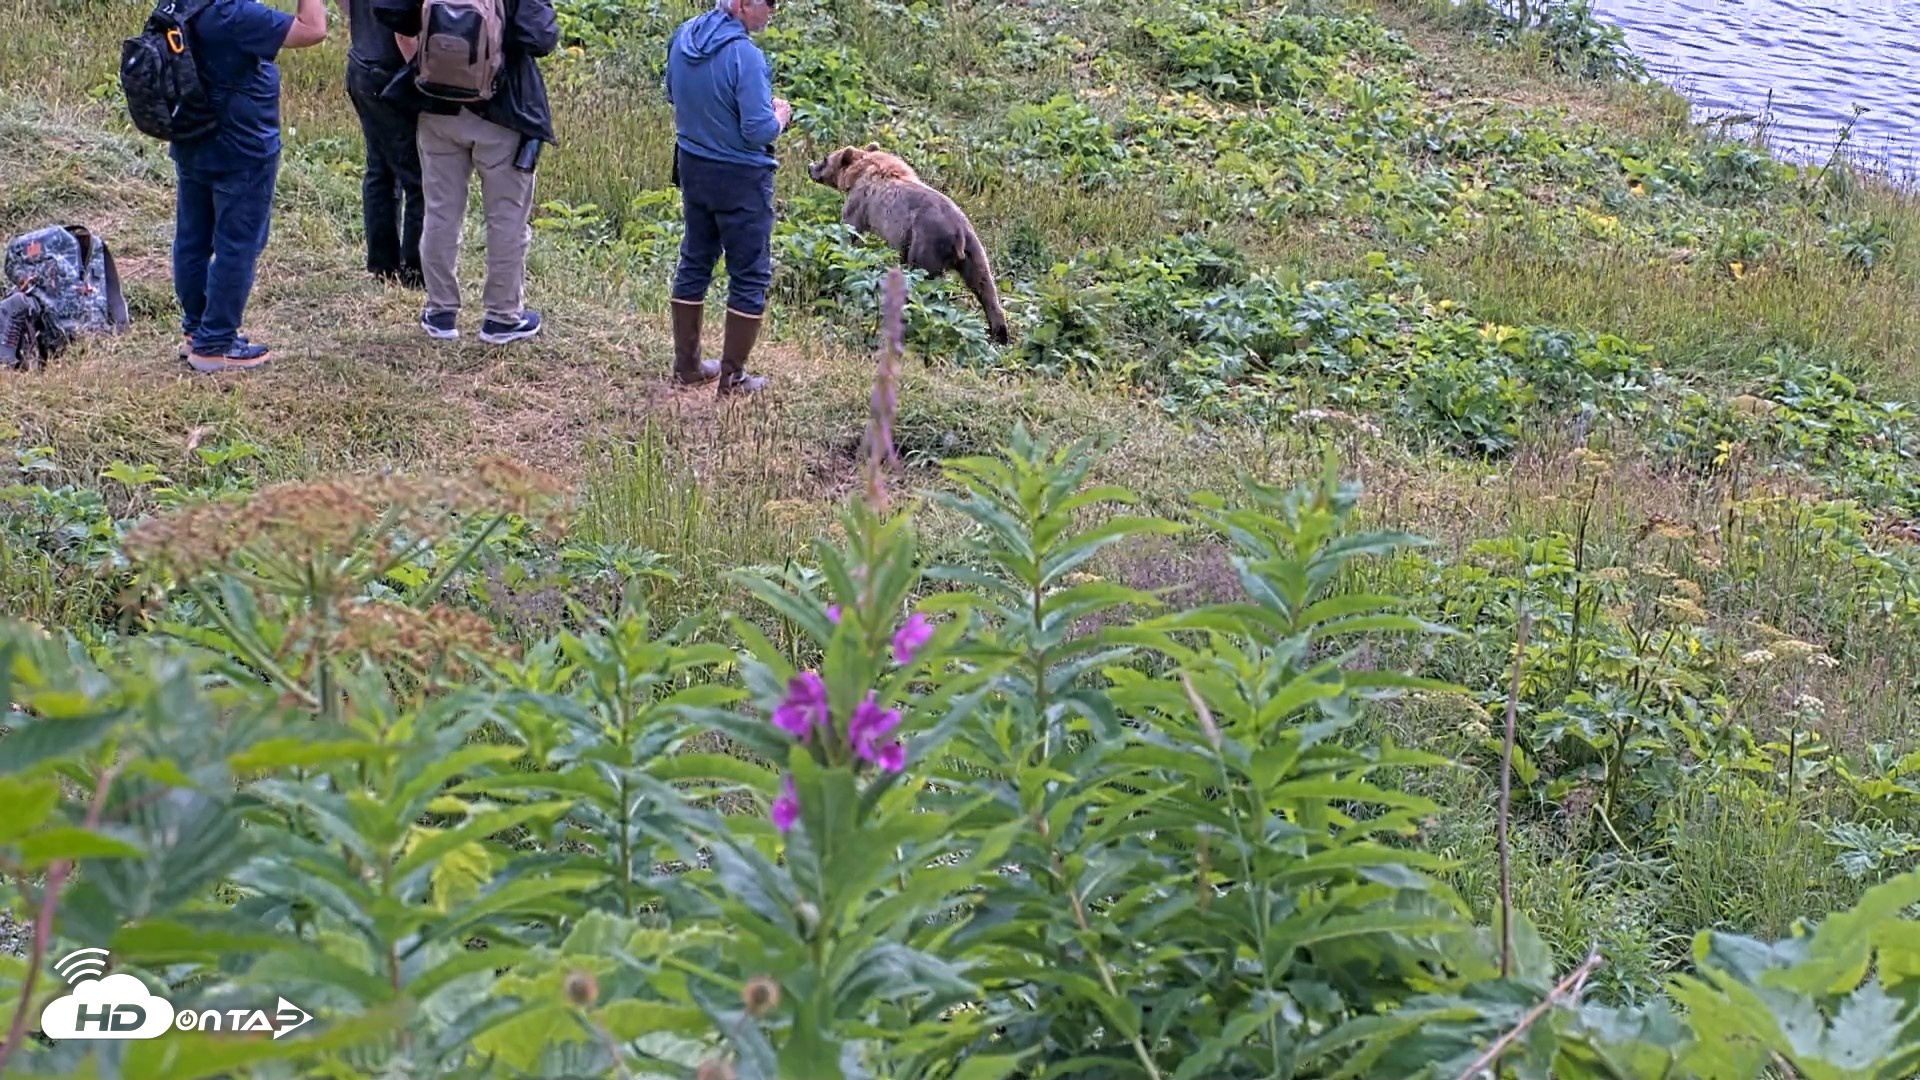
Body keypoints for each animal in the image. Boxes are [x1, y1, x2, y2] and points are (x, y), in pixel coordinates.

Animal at [807, 143, 1011, 346]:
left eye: (825, 159)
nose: (810, 167)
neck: (859, 172)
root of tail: (958, 232)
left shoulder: (862, 202)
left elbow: (850, 228)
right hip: (973, 248)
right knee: (983, 284)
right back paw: (1000, 333)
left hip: (926, 242)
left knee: (923, 278)